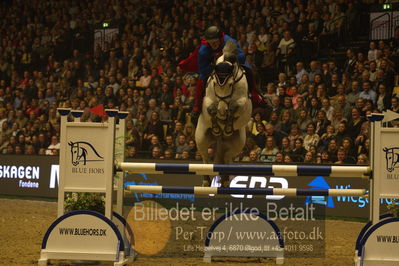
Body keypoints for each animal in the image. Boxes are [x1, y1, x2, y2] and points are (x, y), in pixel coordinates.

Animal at [195, 41, 252, 187]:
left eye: (231, 84)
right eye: (215, 83)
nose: (222, 110)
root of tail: (219, 139)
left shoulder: (243, 102)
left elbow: (234, 107)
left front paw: (227, 126)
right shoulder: (207, 100)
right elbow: (211, 109)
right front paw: (217, 125)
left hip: (238, 143)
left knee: (227, 158)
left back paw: (226, 180)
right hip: (201, 138)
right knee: (205, 158)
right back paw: (206, 181)